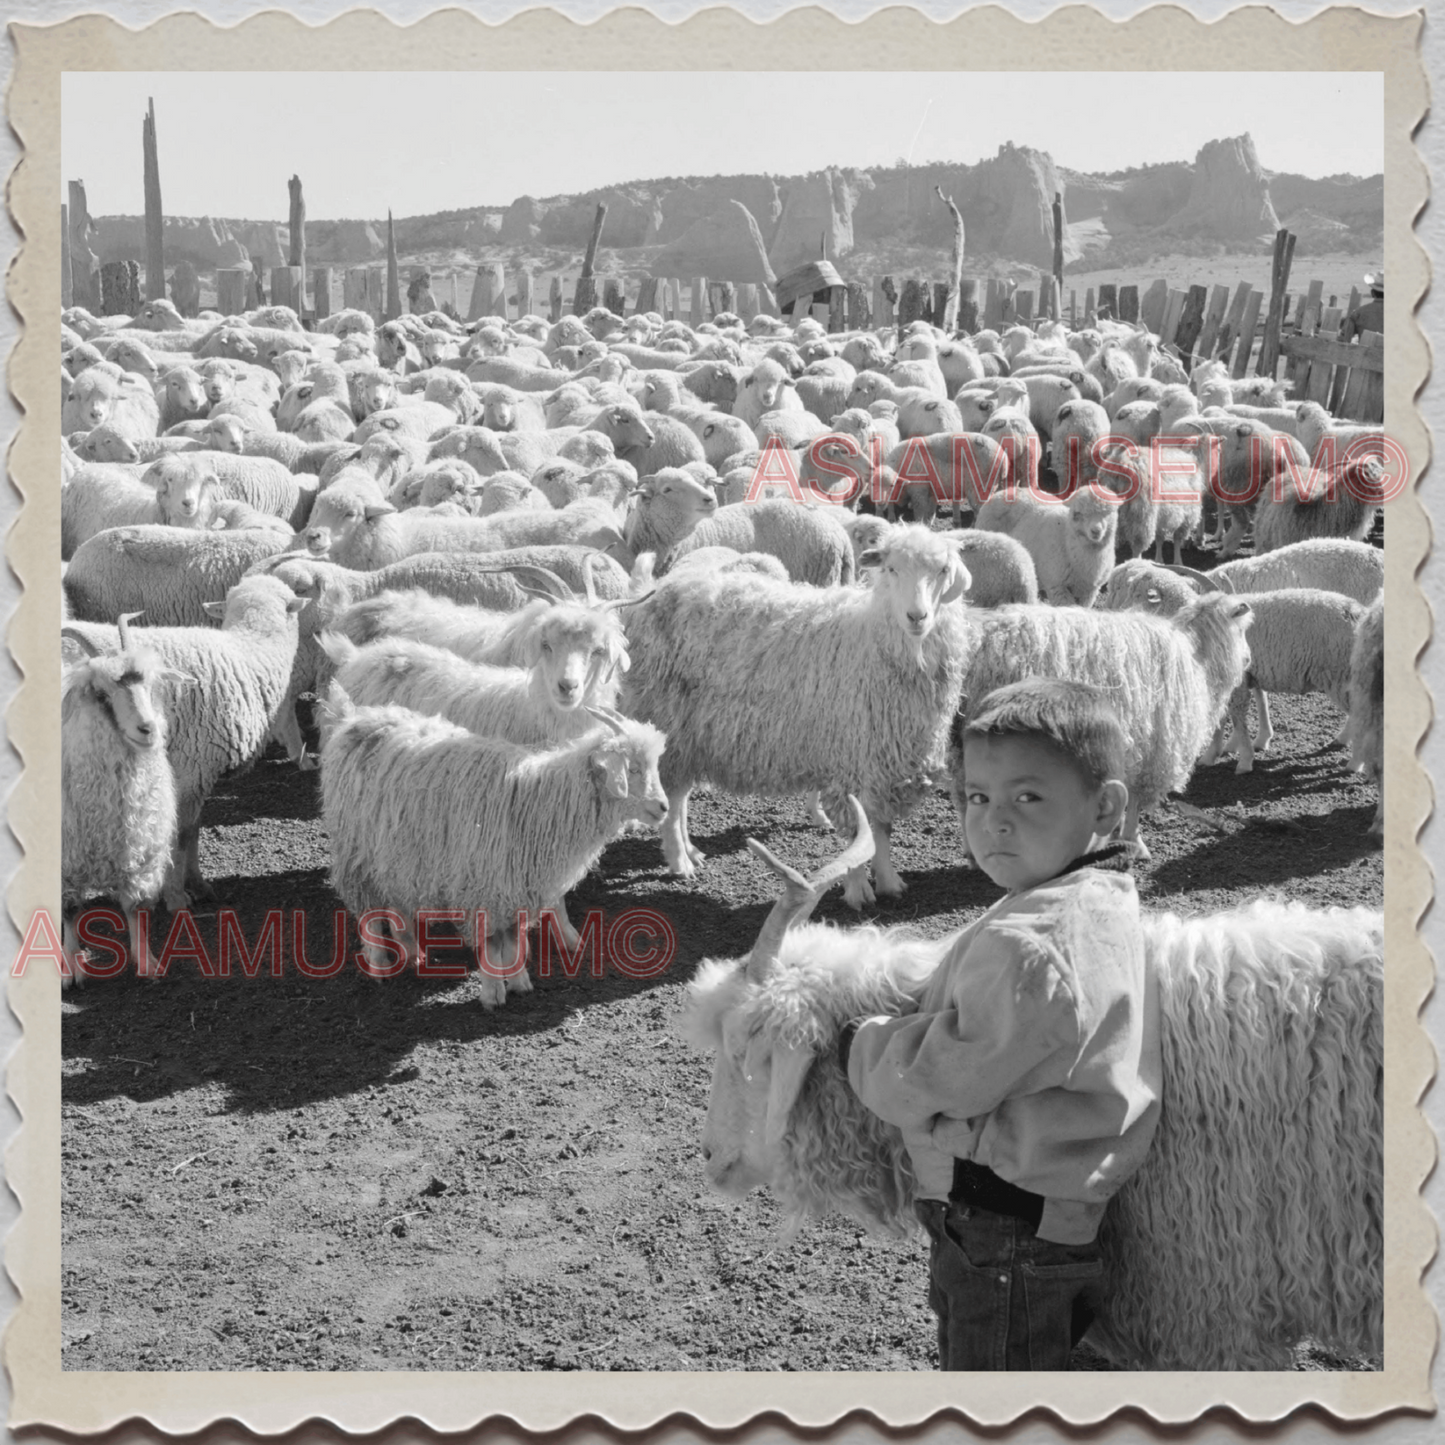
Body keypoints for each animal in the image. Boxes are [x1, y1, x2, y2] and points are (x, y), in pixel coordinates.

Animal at [322, 696, 664, 994]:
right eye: (632, 768)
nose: (663, 807)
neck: (539, 801)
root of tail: (353, 718)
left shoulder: (515, 887)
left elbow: (511, 940)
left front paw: (519, 982)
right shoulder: (482, 883)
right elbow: (490, 943)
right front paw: (493, 992)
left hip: (393, 849)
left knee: (395, 898)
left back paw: (412, 951)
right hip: (354, 851)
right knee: (367, 911)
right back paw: (379, 964)